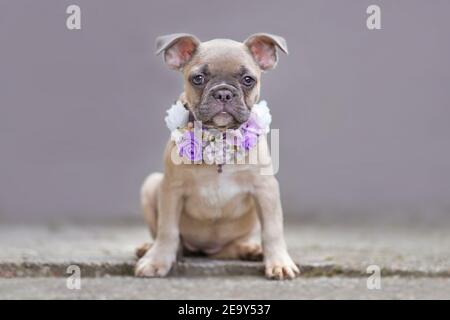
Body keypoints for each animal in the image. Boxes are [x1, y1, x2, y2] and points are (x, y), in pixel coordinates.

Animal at [135, 33, 300, 280]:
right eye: (198, 78)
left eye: (248, 79)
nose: (223, 92)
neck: (219, 137)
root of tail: (204, 250)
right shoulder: (171, 190)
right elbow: (167, 230)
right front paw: (157, 260)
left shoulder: (265, 189)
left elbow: (272, 230)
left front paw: (279, 262)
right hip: (151, 184)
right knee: (170, 238)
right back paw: (149, 248)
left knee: (229, 249)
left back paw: (248, 249)